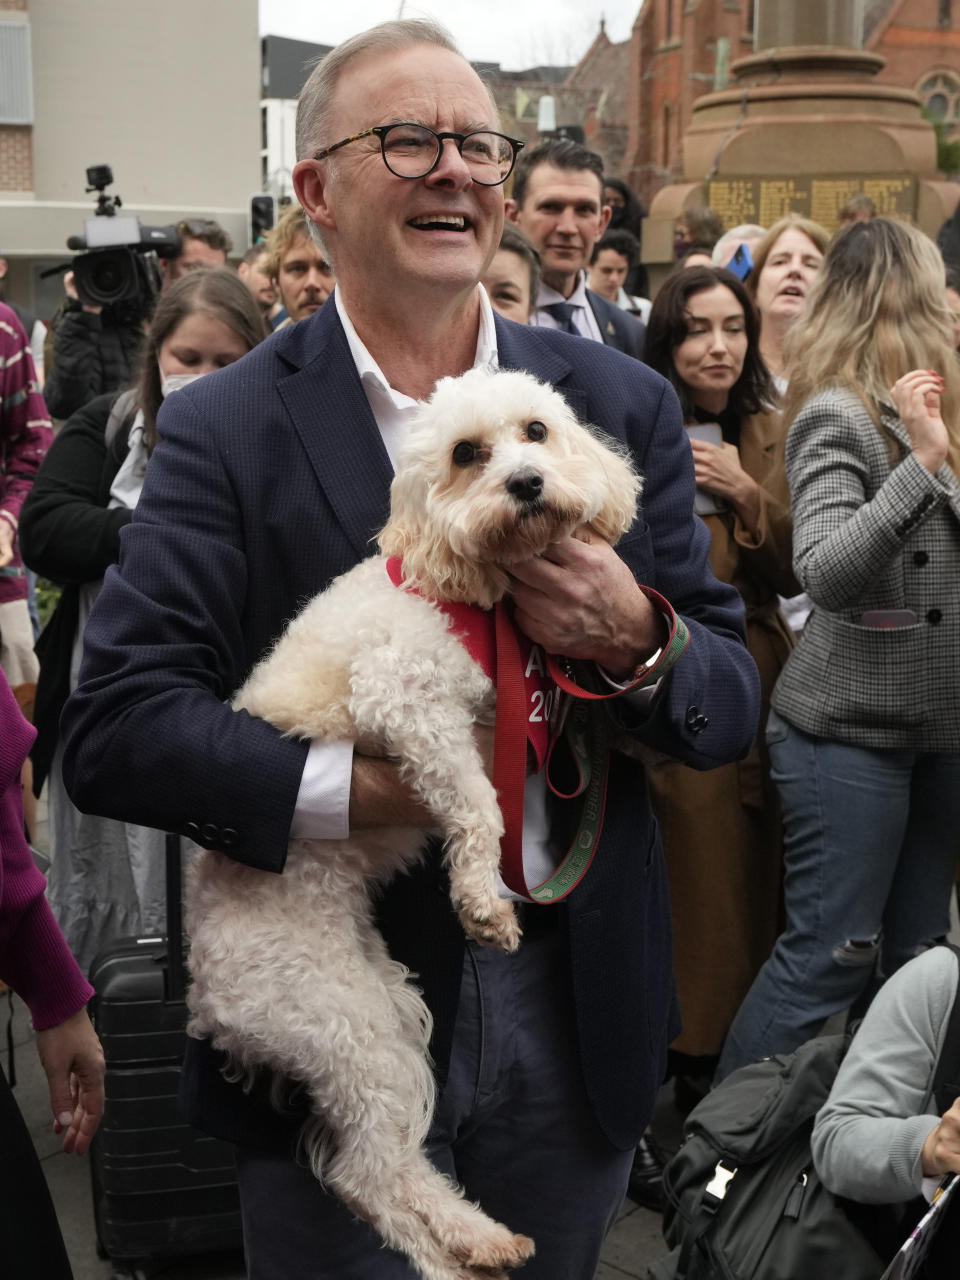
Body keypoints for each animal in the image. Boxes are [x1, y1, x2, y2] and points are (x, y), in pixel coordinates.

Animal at [184, 366, 642, 1274]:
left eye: (537, 431)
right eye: (467, 454)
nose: (526, 483)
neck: (479, 596)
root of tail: (208, 1000)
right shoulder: (408, 703)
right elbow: (477, 801)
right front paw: (483, 901)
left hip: (385, 1009)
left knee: (380, 1173)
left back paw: (477, 1237)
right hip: (341, 1025)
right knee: (370, 1173)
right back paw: (451, 1255)